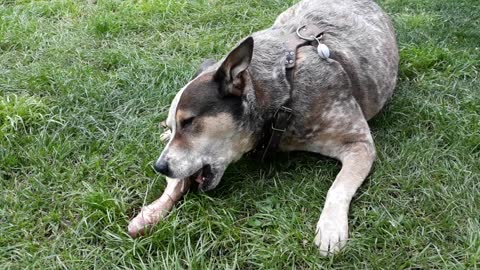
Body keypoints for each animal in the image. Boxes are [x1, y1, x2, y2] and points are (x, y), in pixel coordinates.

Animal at [127, 0, 398, 255]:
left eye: (189, 122)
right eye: (177, 124)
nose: (159, 167)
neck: (282, 91)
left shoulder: (359, 144)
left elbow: (338, 187)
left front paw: (331, 228)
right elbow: (177, 180)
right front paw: (152, 210)